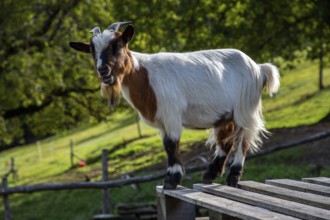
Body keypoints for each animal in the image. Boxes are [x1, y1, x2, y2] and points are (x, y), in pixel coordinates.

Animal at [69, 21, 278, 189]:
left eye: (117, 45)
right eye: (92, 51)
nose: (103, 70)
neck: (144, 76)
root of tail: (259, 68)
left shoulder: (171, 115)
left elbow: (171, 144)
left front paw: (171, 180)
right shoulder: (162, 123)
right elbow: (166, 146)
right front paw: (171, 178)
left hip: (245, 108)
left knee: (244, 139)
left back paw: (233, 176)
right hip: (226, 115)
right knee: (226, 141)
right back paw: (209, 175)